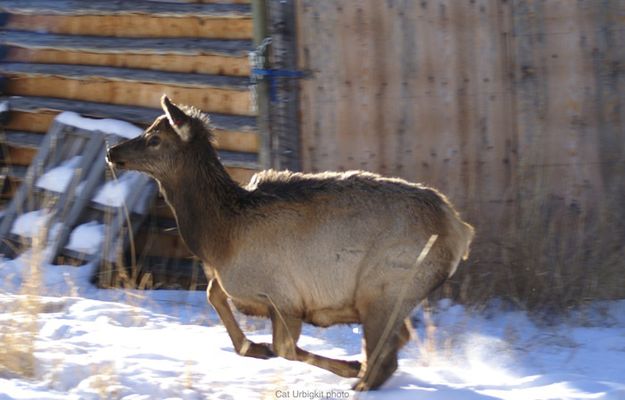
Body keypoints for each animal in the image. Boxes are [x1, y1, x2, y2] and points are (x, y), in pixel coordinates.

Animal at [106, 96, 472, 390]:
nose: (112, 150)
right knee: (399, 342)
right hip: (390, 296)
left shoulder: (284, 298)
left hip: (383, 287)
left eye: (154, 139)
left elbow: (284, 348)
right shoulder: (238, 285)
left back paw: (360, 378)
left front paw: (347, 364)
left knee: (386, 355)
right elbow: (214, 295)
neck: (218, 236)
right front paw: (254, 348)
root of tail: (460, 229)